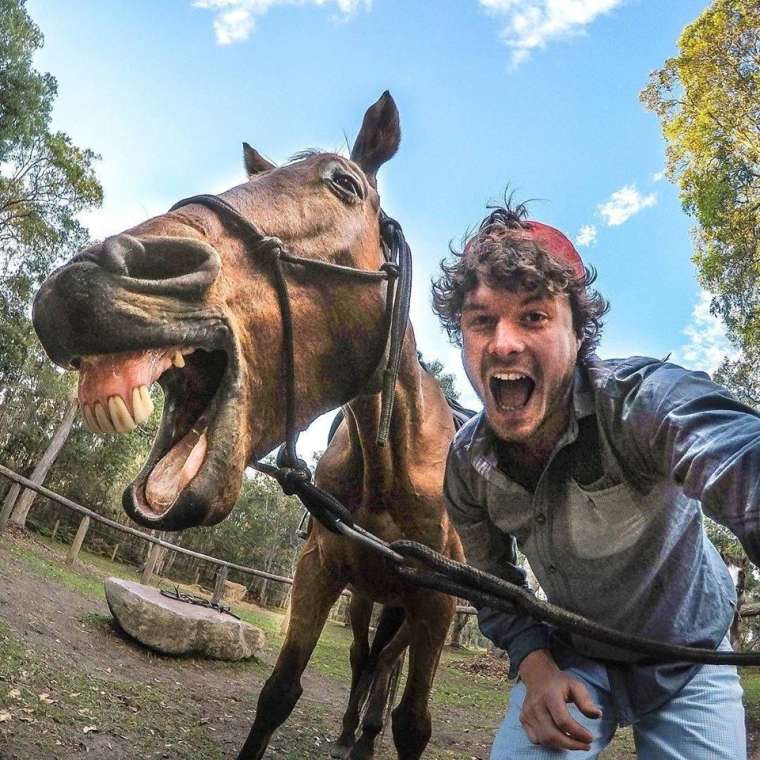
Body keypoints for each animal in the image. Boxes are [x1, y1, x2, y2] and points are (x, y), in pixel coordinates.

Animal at [32, 95, 464, 760]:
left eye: (345, 184)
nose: (83, 280)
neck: (391, 466)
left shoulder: (437, 605)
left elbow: (413, 724)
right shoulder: (317, 573)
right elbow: (280, 693)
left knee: (383, 671)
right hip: (368, 599)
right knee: (366, 660)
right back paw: (352, 733)